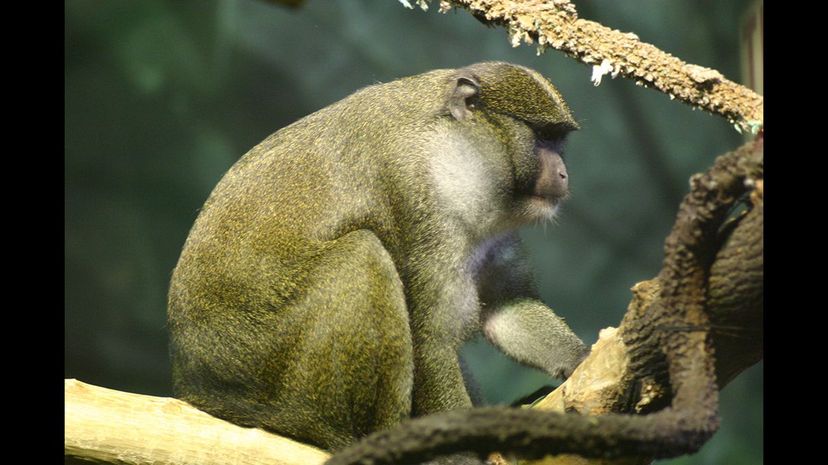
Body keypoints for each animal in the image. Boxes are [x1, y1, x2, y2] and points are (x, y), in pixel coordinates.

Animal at [167, 61, 589, 458]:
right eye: (542, 138)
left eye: (559, 141)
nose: (564, 174)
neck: (454, 149)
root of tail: (200, 387)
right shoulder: (414, 193)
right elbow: (431, 340)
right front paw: (460, 454)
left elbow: (506, 306)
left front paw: (584, 359)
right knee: (362, 255)